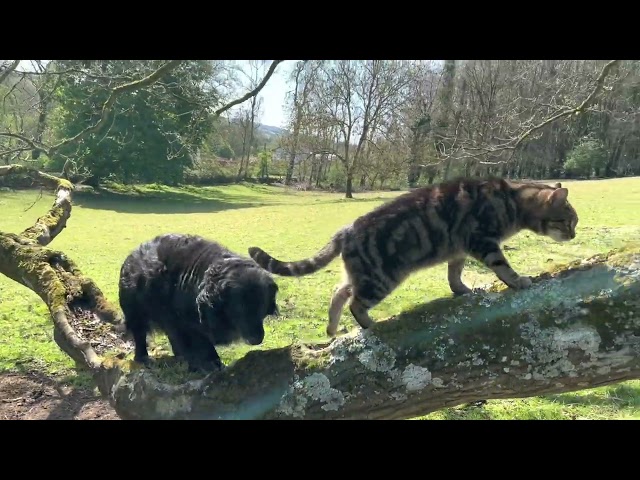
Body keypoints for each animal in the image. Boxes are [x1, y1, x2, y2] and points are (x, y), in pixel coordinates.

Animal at [120, 232, 280, 372]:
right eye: (239, 306)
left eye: (261, 304)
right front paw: (208, 365)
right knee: (140, 335)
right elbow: (199, 345)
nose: (257, 339)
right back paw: (143, 358)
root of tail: (131, 257)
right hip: (135, 314)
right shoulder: (184, 324)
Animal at [248, 177, 576, 338]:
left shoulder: (460, 249)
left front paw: (461, 290)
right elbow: (502, 267)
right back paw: (370, 325)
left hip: (359, 274)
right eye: (568, 222)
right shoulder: (483, 241)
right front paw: (519, 281)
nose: (574, 235)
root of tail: (347, 229)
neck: (512, 200)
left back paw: (331, 328)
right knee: (355, 302)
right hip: (380, 278)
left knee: (338, 292)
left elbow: (454, 274)